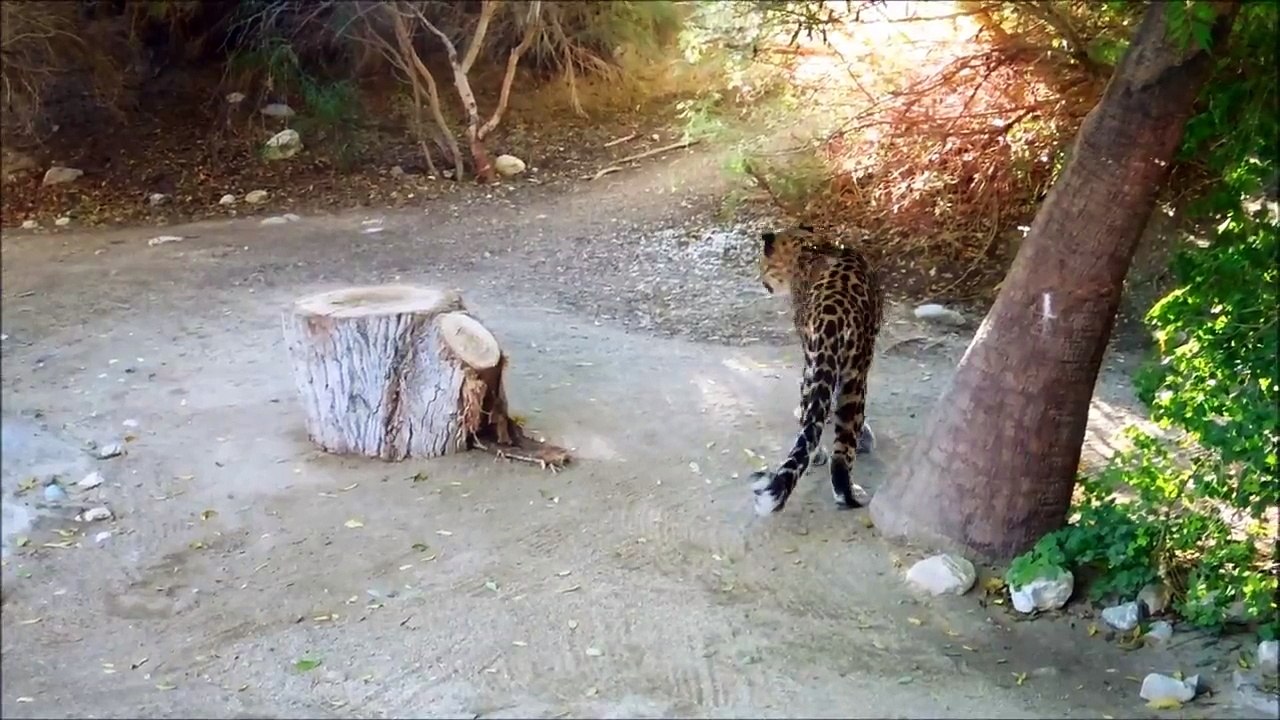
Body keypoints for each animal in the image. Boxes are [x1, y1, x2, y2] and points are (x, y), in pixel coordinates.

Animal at [749, 223, 884, 516]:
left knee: (812, 424)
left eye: (762, 263)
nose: (761, 280)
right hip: (851, 375)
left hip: (819, 366)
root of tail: (835, 315)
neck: (805, 246)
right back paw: (848, 495)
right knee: (841, 451)